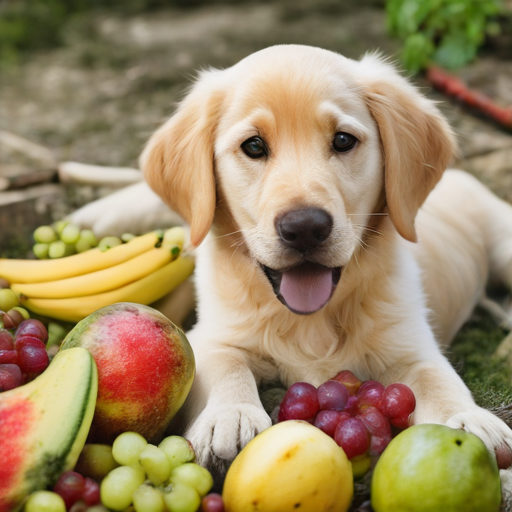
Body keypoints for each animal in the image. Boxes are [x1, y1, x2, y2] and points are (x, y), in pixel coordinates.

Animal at [137, 46, 512, 470]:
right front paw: (230, 415)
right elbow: (225, 365)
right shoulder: (213, 335)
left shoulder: (412, 345)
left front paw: (465, 420)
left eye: (343, 140)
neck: (311, 320)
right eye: (254, 146)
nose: (304, 228)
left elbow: (438, 381)